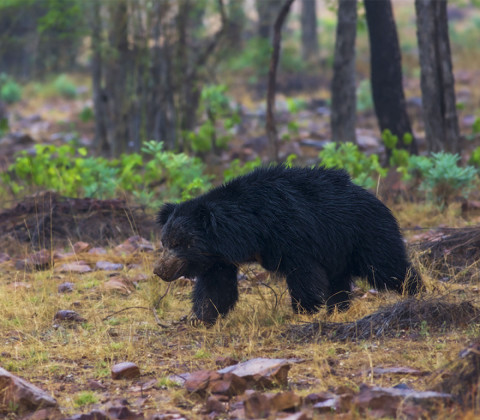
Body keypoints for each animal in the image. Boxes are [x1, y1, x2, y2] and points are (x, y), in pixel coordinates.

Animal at [154, 166, 420, 324]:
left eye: (180, 243)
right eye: (164, 242)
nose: (159, 270)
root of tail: (378, 200)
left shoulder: (293, 237)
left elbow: (305, 275)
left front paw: (304, 311)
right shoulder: (219, 259)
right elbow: (216, 288)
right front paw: (200, 317)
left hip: (365, 235)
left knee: (387, 267)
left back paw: (416, 290)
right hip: (340, 252)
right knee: (340, 281)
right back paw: (338, 309)